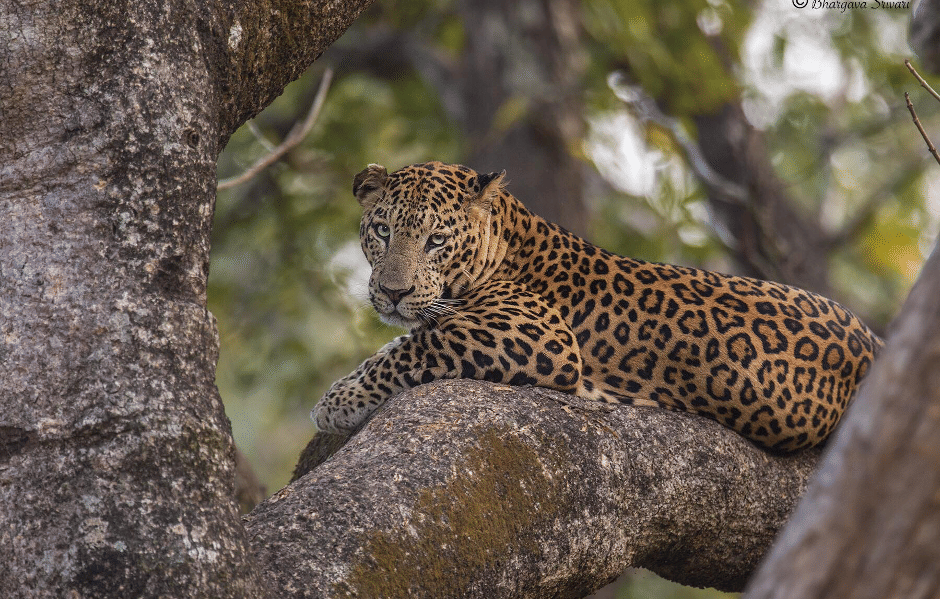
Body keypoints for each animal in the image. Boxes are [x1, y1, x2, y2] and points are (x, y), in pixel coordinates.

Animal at [311, 161, 882, 452]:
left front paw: (338, 401)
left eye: (435, 241)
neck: (507, 242)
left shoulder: (534, 333)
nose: (393, 291)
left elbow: (413, 348)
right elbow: (403, 338)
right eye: (382, 231)